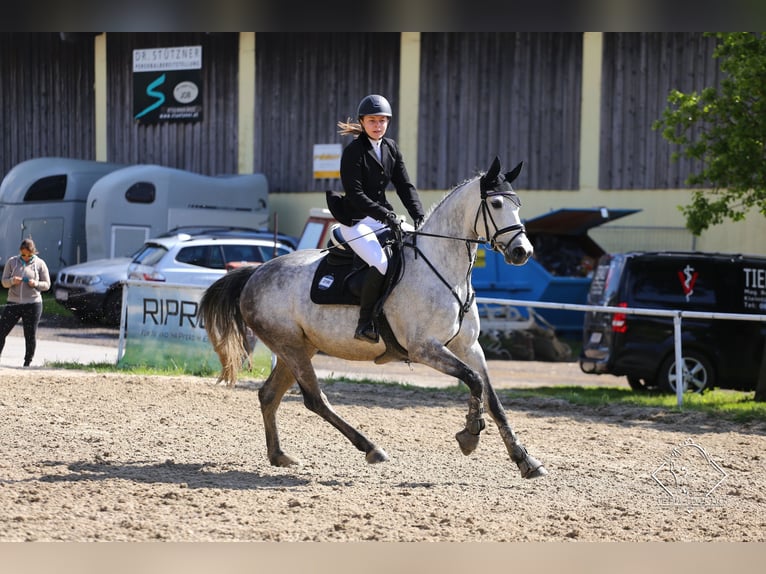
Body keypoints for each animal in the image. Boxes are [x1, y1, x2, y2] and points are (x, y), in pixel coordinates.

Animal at [201, 155, 548, 480]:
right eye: (497, 203)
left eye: (518, 203)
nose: (522, 252)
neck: (444, 269)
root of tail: (255, 272)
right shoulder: (425, 349)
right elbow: (474, 381)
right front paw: (470, 435)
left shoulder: (469, 348)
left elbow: (493, 399)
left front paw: (525, 460)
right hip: (291, 347)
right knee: (315, 400)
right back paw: (371, 448)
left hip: (298, 348)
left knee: (269, 395)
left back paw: (280, 455)